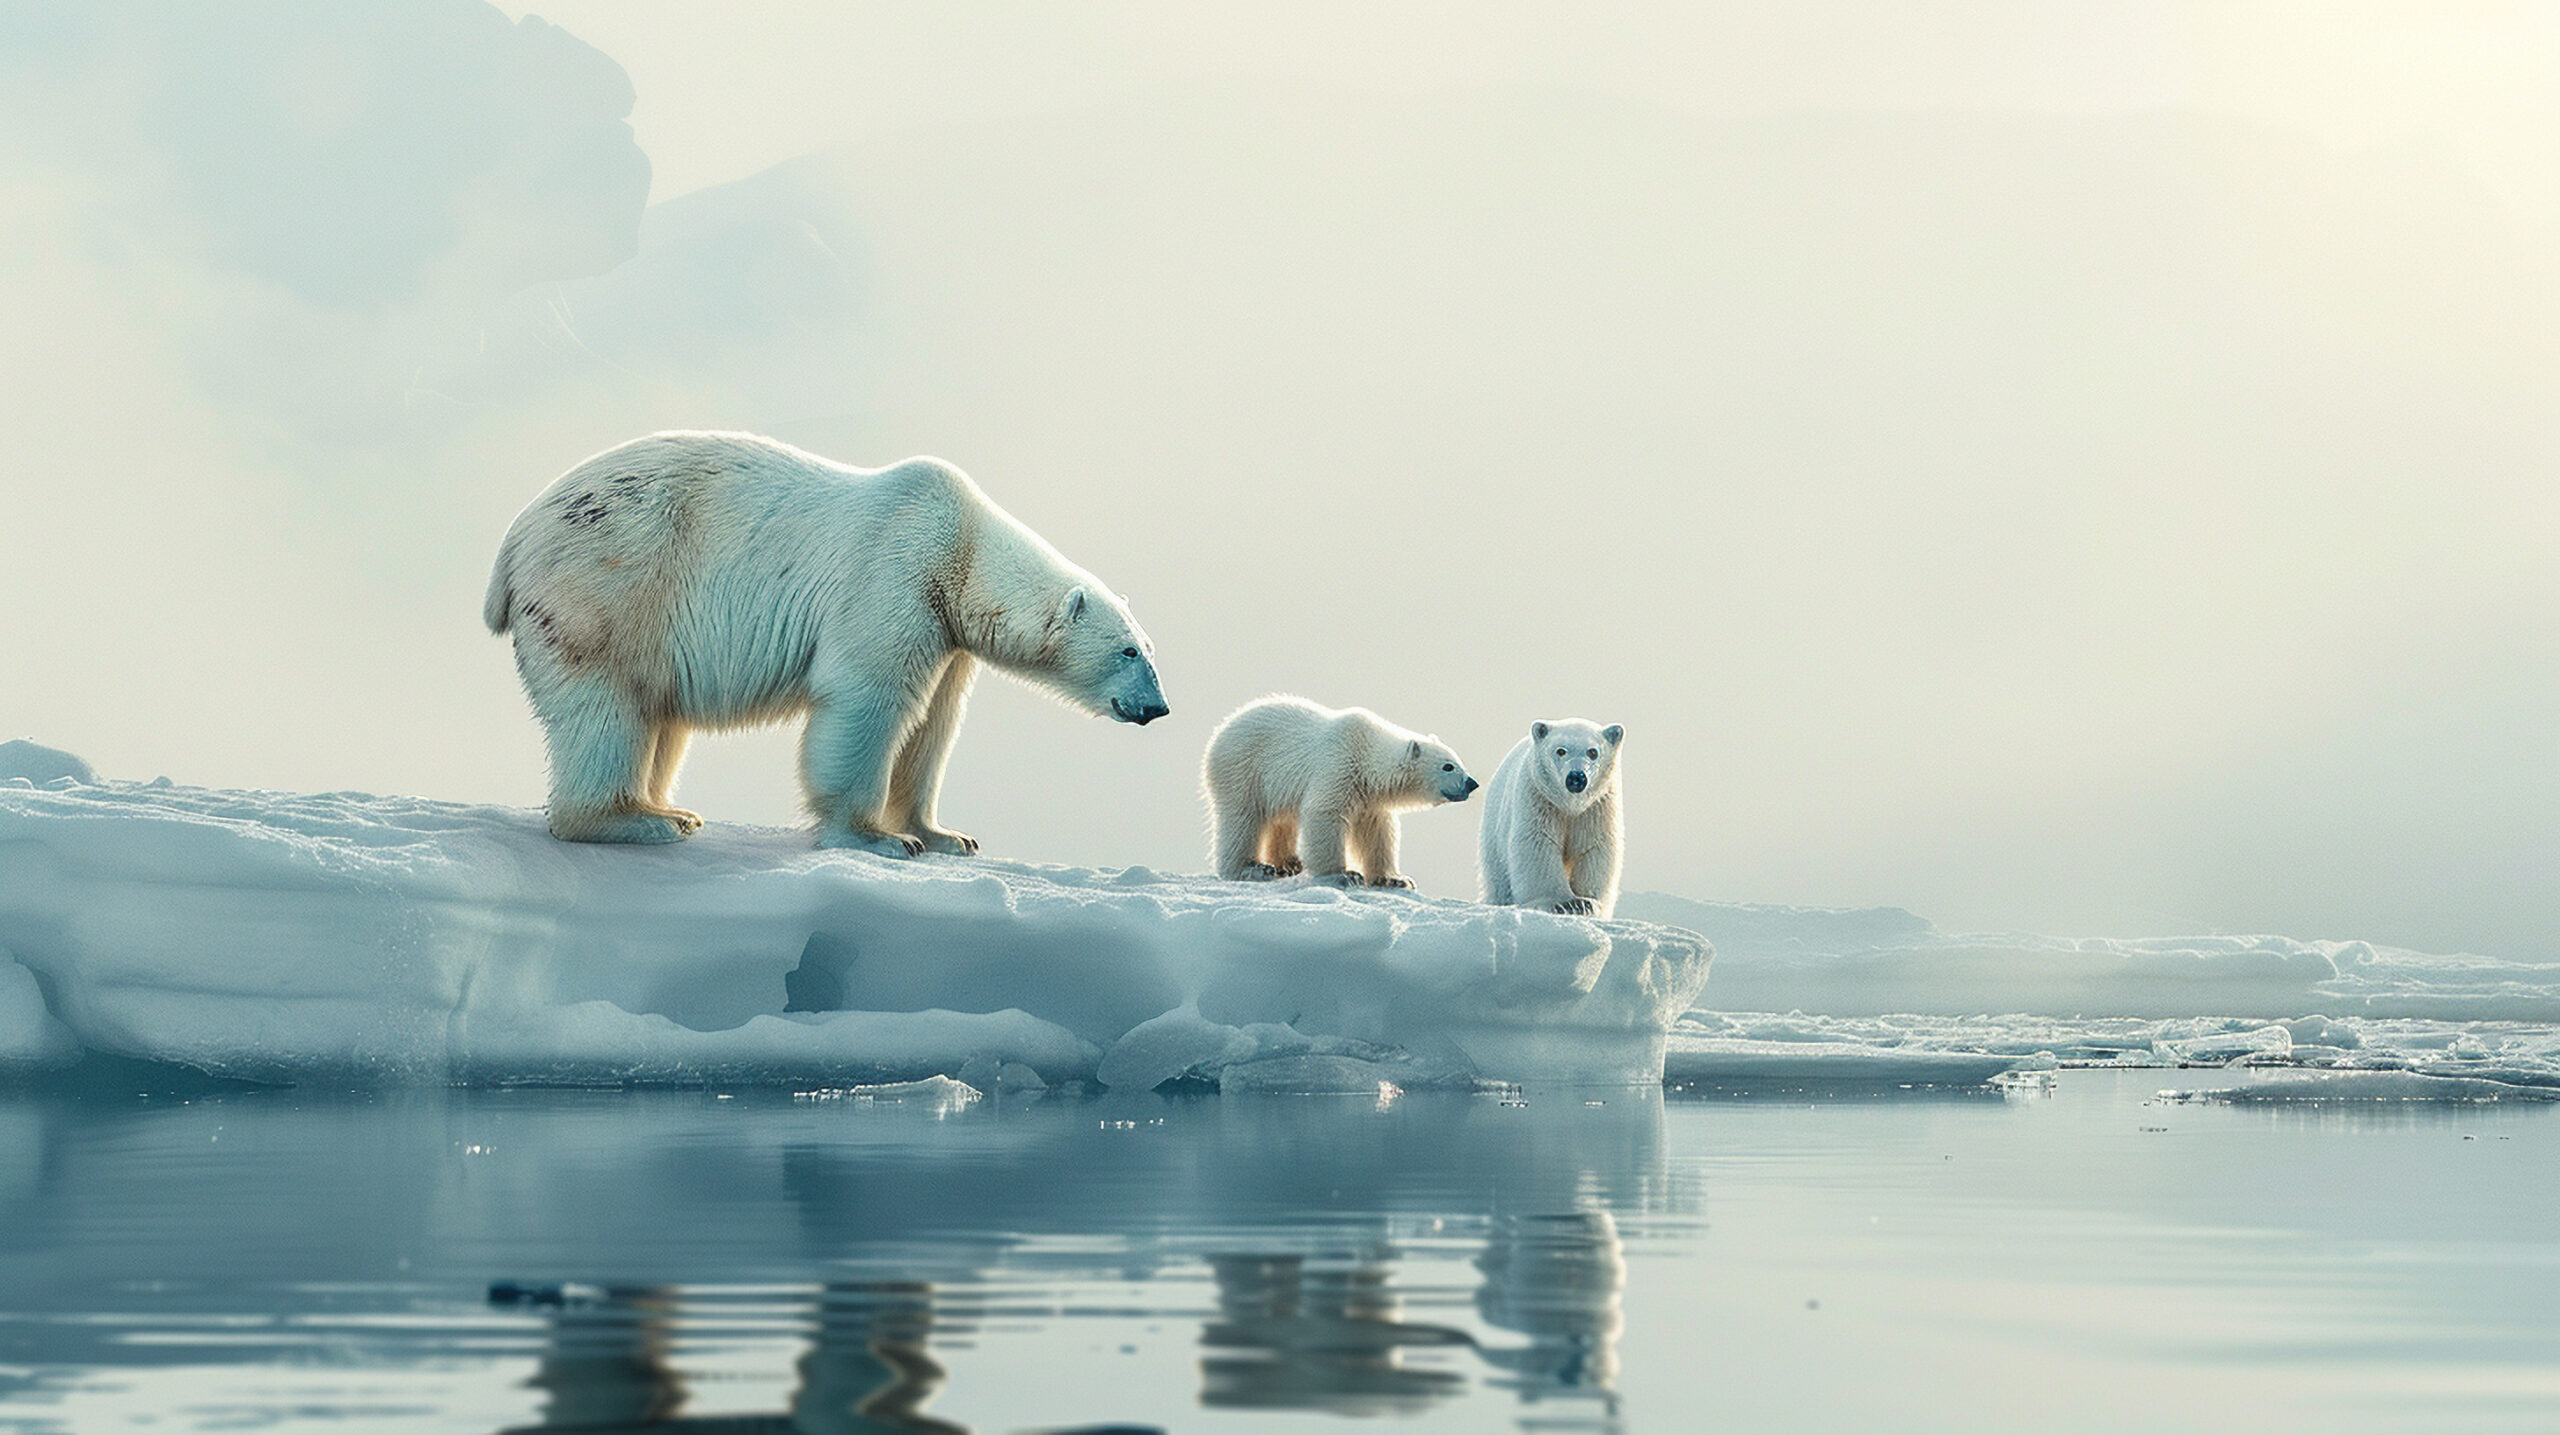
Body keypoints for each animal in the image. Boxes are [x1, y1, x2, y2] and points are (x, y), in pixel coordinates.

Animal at [484, 430, 1169, 853]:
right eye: (1129, 651)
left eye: (1150, 650)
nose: (1158, 708)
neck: (962, 546)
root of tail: (511, 545)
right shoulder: (895, 577)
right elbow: (870, 700)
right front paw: (879, 838)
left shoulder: (946, 633)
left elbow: (934, 726)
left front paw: (948, 836)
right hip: (607, 588)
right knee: (608, 706)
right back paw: (640, 821)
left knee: (657, 716)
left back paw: (668, 809)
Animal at [1202, 695, 1477, 889]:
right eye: (1448, 766)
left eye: (1458, 761)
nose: (1472, 783)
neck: (1366, 755)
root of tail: (1220, 731)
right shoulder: (1339, 767)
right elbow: (1324, 813)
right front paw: (1344, 875)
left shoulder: (1369, 798)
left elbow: (1377, 832)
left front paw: (1395, 879)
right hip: (1243, 770)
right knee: (1241, 819)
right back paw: (1253, 867)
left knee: (1283, 821)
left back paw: (1289, 864)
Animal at [1478, 719, 1625, 918]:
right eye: (1560, 750)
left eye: (1593, 752)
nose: (1576, 777)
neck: (1569, 805)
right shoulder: (1539, 799)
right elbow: (1538, 843)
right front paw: (1563, 903)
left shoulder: (1596, 808)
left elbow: (1595, 847)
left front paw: (1586, 903)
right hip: (1494, 831)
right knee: (1498, 878)